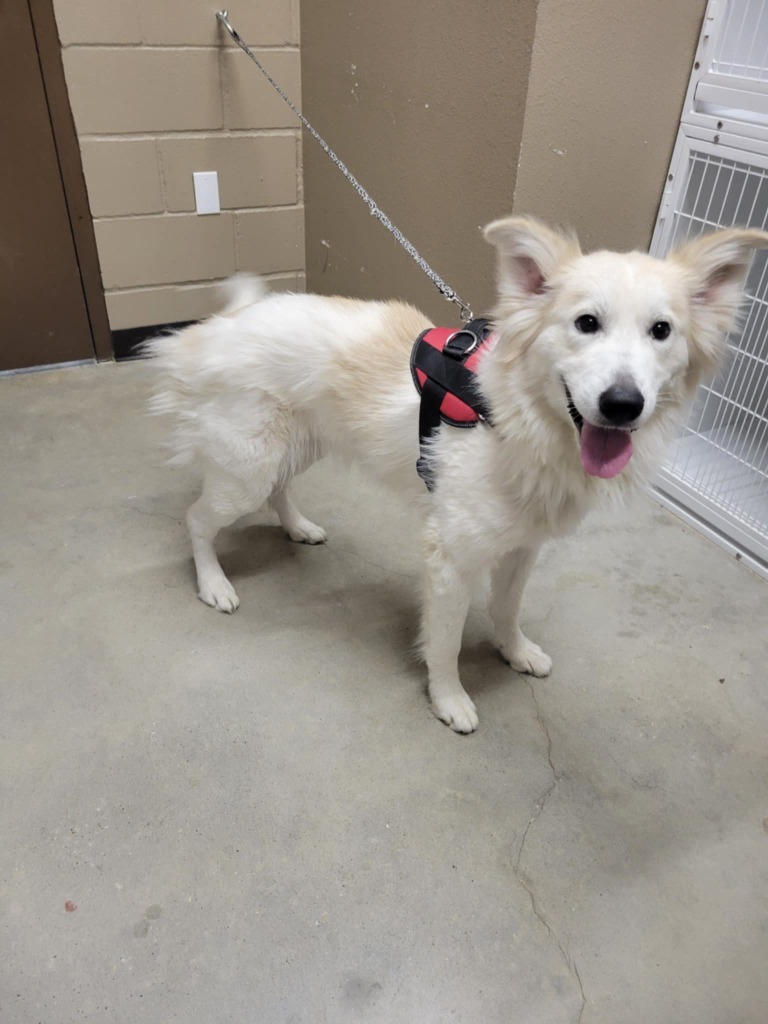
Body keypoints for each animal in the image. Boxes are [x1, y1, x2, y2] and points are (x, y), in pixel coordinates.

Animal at [148, 216, 768, 733]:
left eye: (661, 331)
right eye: (586, 323)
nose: (623, 404)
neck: (516, 418)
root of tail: (223, 323)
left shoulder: (522, 547)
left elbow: (506, 609)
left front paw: (515, 652)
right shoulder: (451, 559)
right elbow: (444, 643)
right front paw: (449, 700)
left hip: (293, 447)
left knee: (279, 490)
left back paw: (298, 527)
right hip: (247, 467)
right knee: (197, 520)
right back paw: (214, 584)